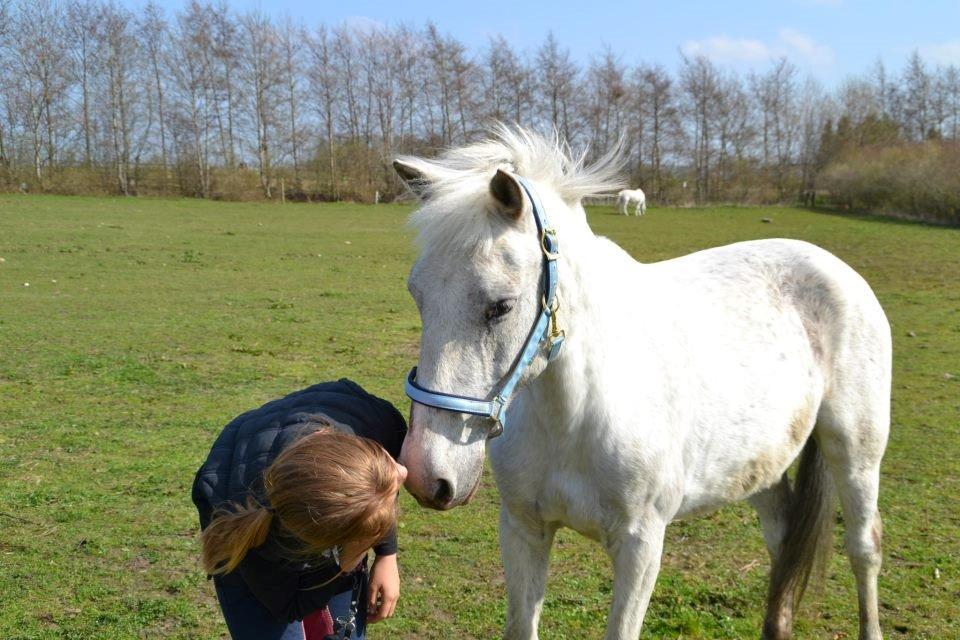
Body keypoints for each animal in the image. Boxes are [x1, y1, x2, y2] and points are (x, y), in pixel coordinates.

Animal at [394, 126, 888, 640]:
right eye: (418, 295)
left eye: (501, 306)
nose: (428, 475)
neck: (575, 414)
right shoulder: (523, 531)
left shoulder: (640, 546)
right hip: (761, 466)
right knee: (783, 537)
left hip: (855, 452)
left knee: (864, 547)